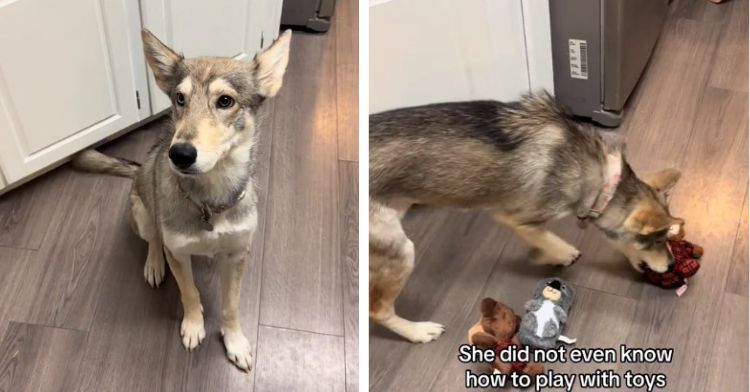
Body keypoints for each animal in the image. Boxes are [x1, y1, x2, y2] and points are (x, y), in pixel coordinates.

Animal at [72, 29, 290, 370]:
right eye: (179, 98)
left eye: (225, 101)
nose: (180, 154)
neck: (211, 201)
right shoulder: (178, 252)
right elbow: (189, 292)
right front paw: (193, 325)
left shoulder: (238, 254)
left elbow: (230, 305)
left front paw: (235, 341)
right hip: (142, 212)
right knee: (153, 240)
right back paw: (154, 264)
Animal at [370, 92, 688, 344]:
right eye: (651, 241)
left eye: (666, 239)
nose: (673, 264)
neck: (602, 184)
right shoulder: (514, 216)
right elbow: (548, 238)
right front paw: (558, 255)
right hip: (399, 249)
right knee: (378, 310)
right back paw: (417, 332)